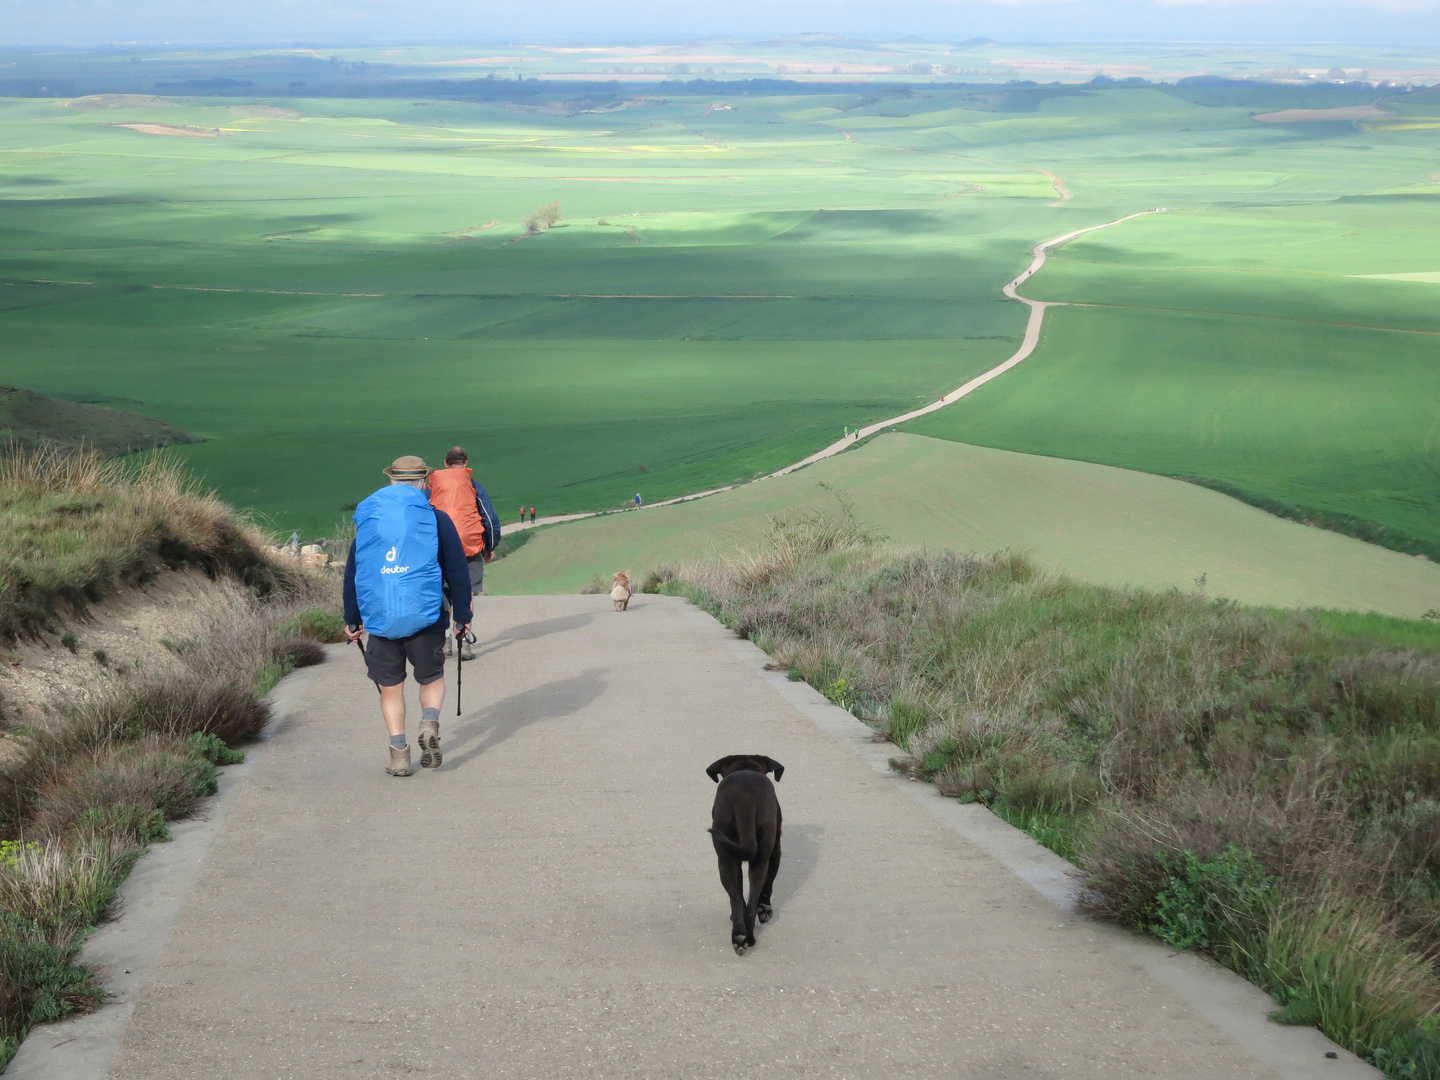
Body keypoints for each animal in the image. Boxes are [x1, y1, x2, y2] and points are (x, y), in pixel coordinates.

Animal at [702, 754, 783, 961]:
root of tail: (744, 802)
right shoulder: (775, 852)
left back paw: (740, 935)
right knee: (751, 899)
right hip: (761, 857)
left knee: (738, 900)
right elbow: (766, 886)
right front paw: (765, 909)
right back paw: (746, 936)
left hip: (726, 856)